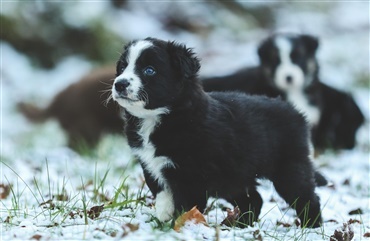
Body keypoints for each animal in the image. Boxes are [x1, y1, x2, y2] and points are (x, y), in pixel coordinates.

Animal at [111, 37, 322, 228]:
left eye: (149, 70)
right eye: (122, 68)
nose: (119, 84)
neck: (159, 117)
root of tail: (293, 110)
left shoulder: (191, 175)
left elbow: (186, 205)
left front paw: (178, 226)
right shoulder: (150, 164)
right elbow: (161, 190)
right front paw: (163, 213)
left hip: (289, 167)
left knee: (306, 196)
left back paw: (311, 225)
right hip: (233, 176)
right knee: (253, 199)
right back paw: (240, 225)